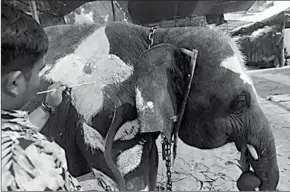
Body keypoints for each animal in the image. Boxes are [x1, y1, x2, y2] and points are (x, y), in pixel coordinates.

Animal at [24, 21, 278, 190]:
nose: (251, 180)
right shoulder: (97, 113)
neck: (154, 37)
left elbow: (150, 163)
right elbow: (125, 175)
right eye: (240, 102)